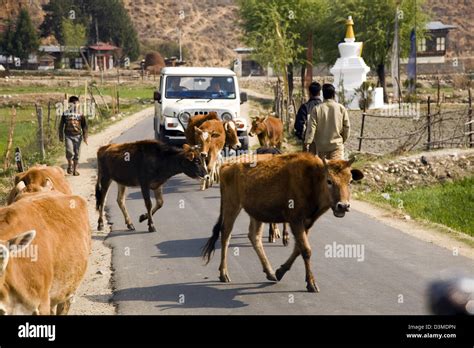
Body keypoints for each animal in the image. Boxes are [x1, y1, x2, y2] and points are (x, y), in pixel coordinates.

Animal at [203, 154, 362, 292]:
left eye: (350, 181)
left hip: (256, 213)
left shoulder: (307, 223)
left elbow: (298, 248)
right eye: (329, 181)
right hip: (232, 206)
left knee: (254, 236)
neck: (313, 178)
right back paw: (224, 274)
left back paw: (270, 273)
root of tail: (227, 164)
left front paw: (280, 271)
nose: (343, 206)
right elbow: (306, 249)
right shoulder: (296, 220)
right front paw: (311, 283)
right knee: (226, 234)